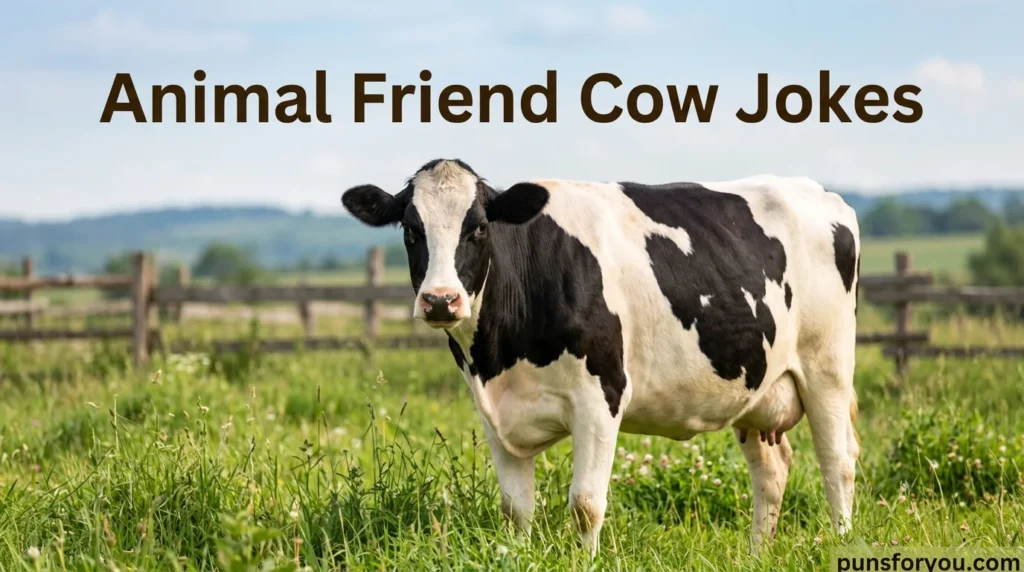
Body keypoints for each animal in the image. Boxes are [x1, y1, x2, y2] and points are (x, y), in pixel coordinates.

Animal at [341, 158, 861, 556]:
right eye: (411, 230)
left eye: (480, 228)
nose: (440, 300)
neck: (500, 355)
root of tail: (818, 191)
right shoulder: (494, 411)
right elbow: (515, 509)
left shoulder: (600, 397)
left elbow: (586, 504)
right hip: (758, 386)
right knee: (772, 470)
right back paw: (757, 554)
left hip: (827, 369)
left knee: (838, 461)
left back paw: (841, 544)